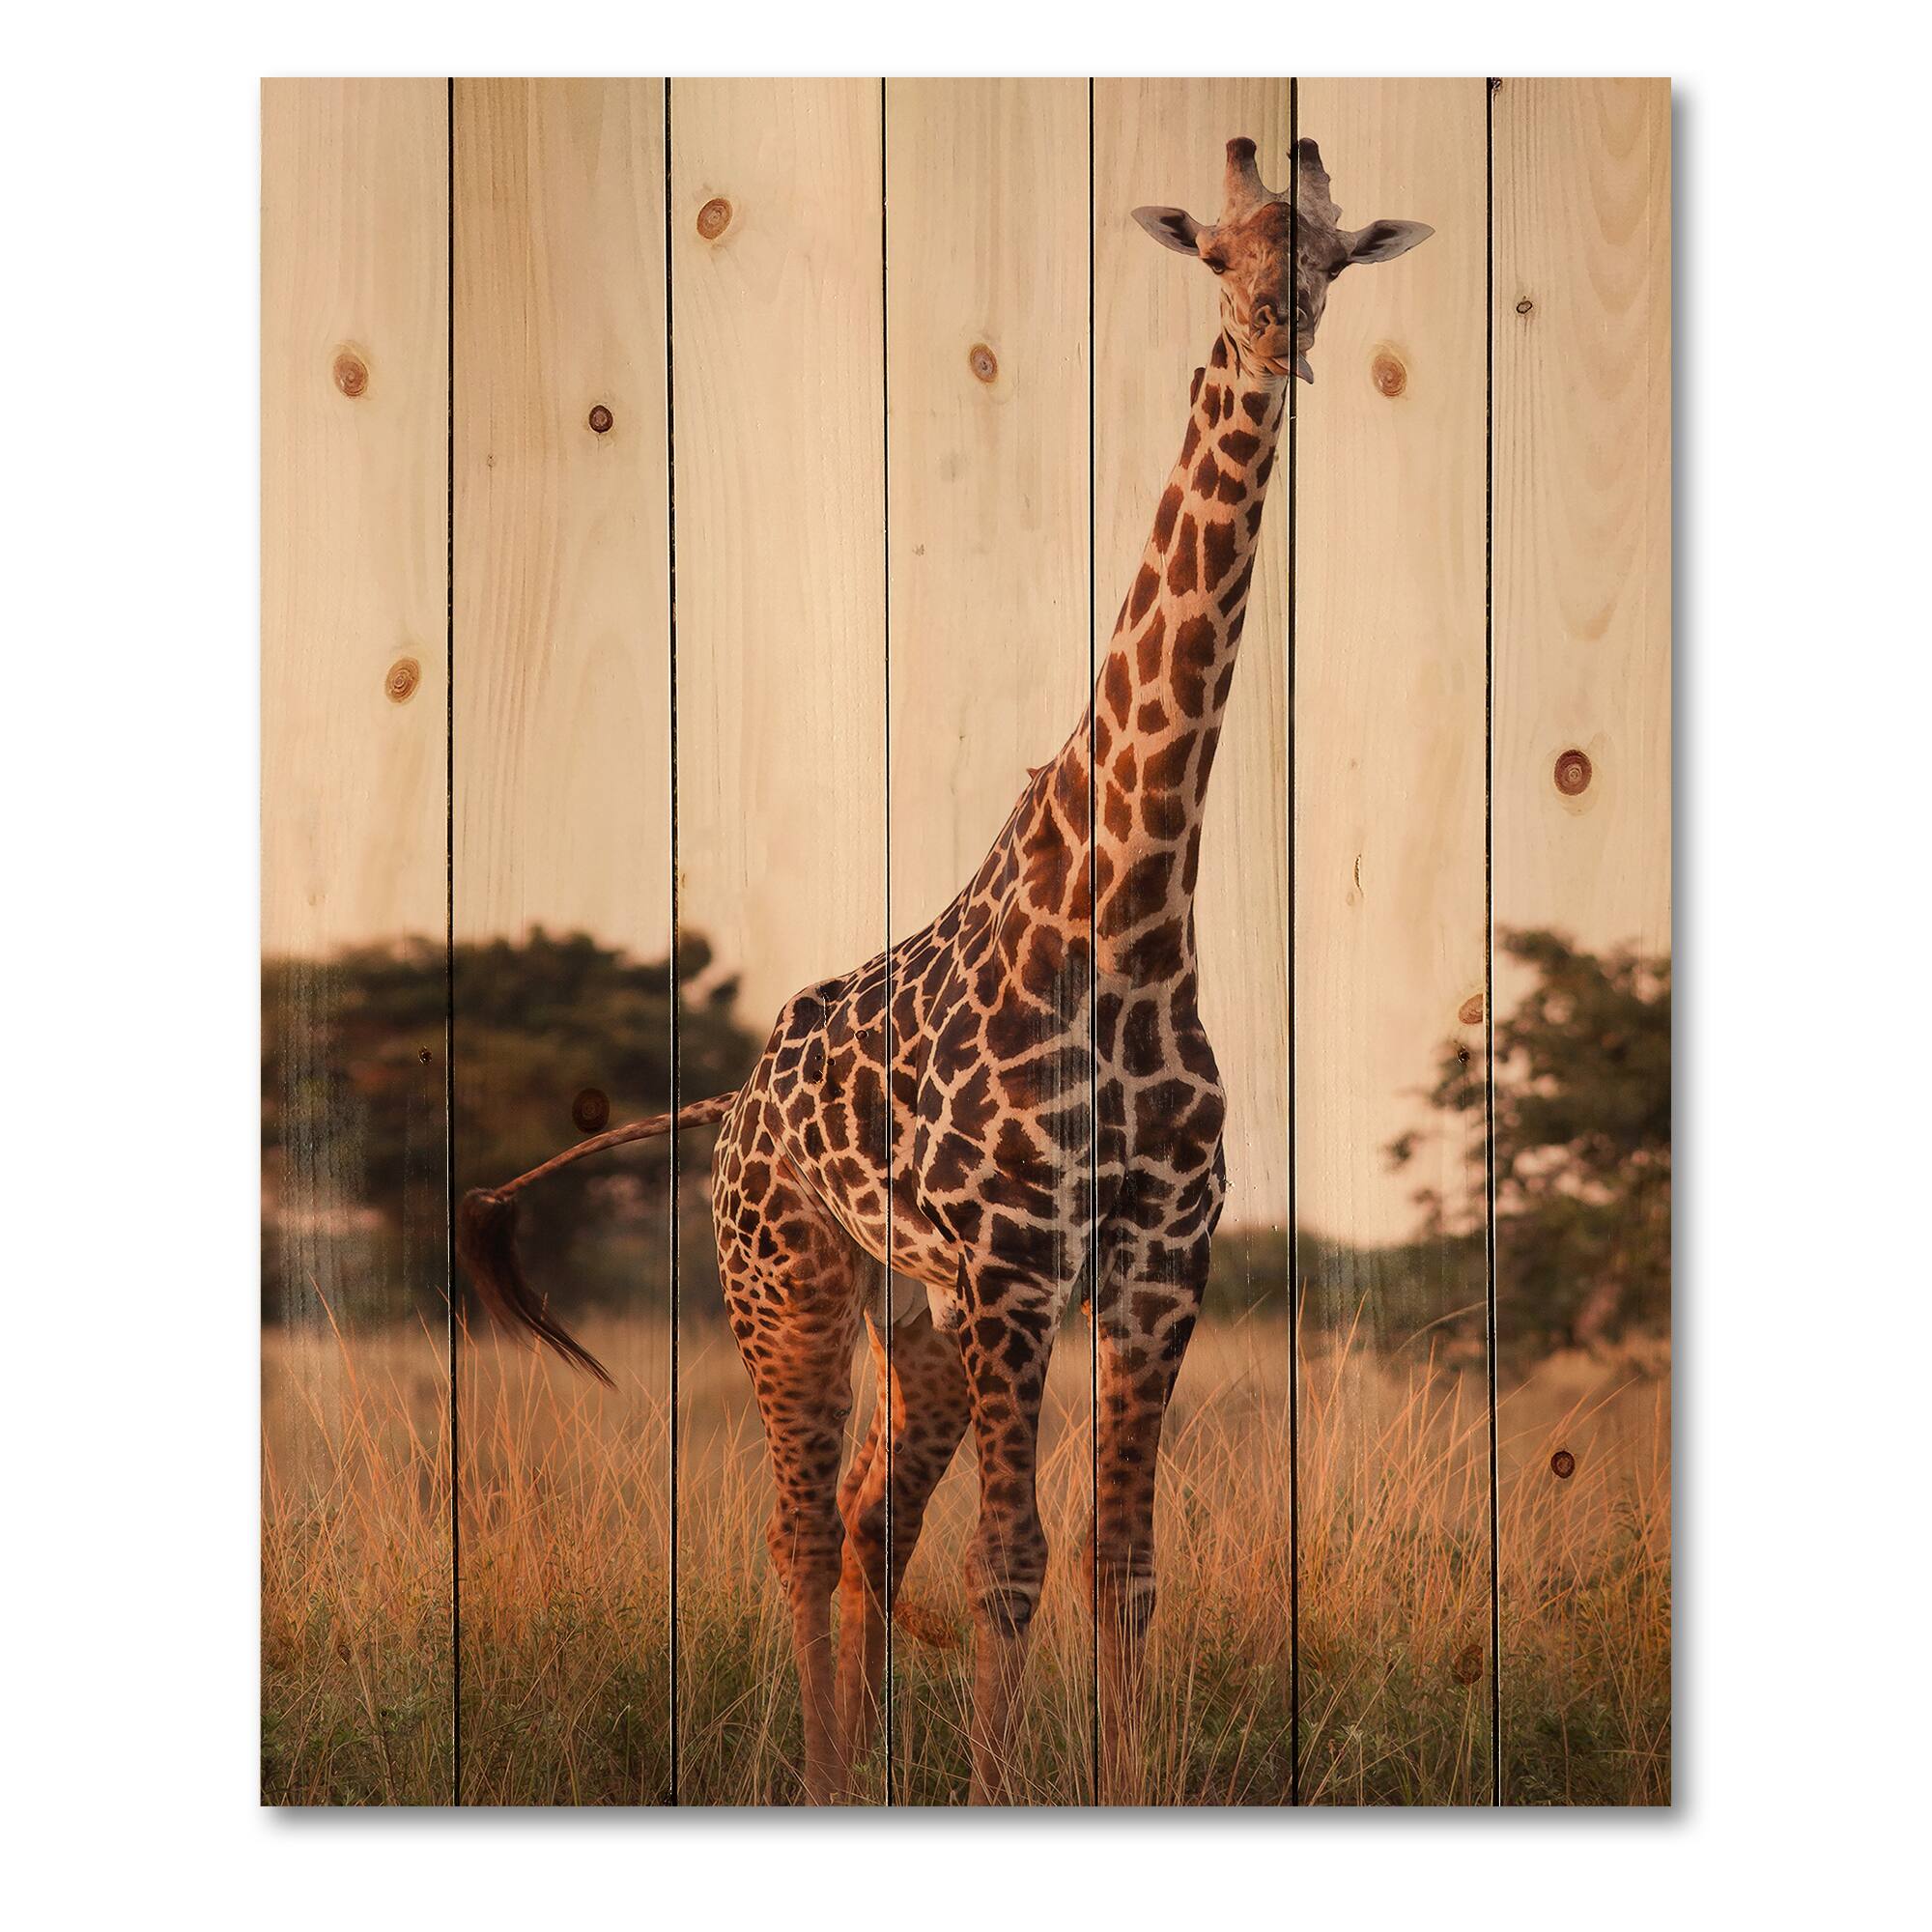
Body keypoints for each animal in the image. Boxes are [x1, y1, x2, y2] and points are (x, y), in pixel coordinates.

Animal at [458, 134, 1430, 1805]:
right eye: (1216, 253)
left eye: (1325, 259)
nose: (1273, 335)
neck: (1132, 920)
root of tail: (730, 1106)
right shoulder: (1018, 1268)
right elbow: (1012, 1563)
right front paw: (998, 1789)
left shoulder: (1157, 1269)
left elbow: (1123, 1567)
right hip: (787, 1280)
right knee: (799, 1527)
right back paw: (826, 1780)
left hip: (909, 1313)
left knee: (867, 1517)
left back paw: (866, 1775)